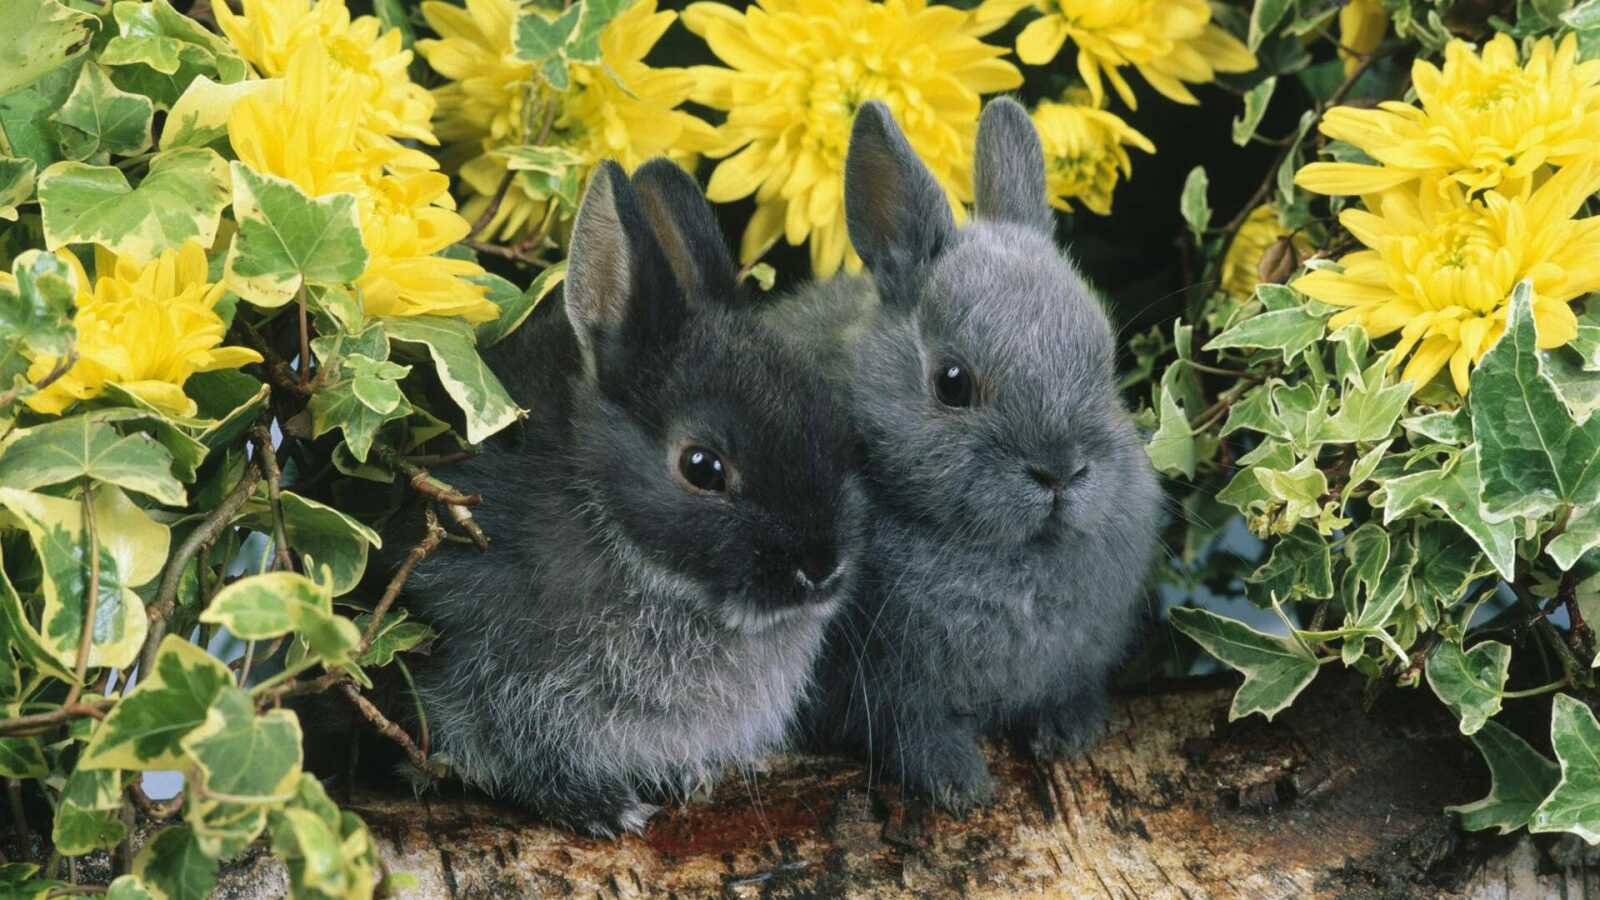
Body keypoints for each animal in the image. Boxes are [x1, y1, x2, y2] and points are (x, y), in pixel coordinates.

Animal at [394, 157, 864, 837]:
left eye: (833, 425)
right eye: (702, 467)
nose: (821, 569)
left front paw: (691, 779)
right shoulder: (487, 674)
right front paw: (606, 810)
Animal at [794, 98, 1163, 813]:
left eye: (1104, 359)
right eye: (952, 383)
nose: (1060, 470)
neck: (1008, 557)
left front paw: (1067, 733)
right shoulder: (882, 689)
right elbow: (911, 730)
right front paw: (958, 783)